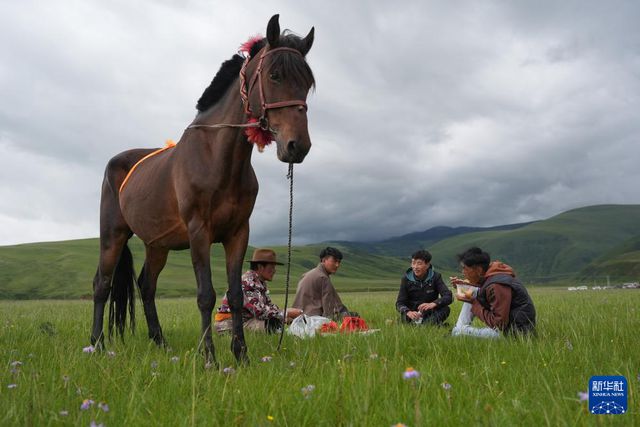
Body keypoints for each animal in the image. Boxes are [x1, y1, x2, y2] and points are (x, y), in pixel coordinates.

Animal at [91, 15, 316, 366]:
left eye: (307, 82)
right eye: (274, 75)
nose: (298, 146)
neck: (217, 159)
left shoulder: (238, 233)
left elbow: (236, 296)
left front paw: (241, 355)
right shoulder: (200, 232)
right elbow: (206, 295)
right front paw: (210, 357)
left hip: (157, 245)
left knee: (147, 285)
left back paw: (161, 343)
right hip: (112, 235)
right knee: (101, 284)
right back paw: (97, 344)